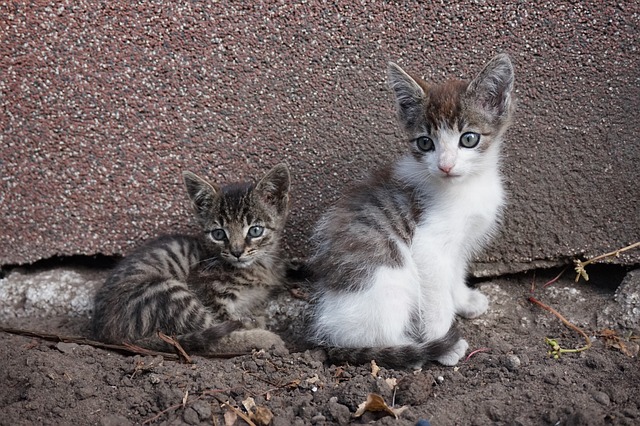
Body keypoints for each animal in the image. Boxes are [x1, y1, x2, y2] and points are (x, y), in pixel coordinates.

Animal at [91, 163, 292, 352]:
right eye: (218, 234)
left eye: (255, 230)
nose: (237, 252)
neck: (259, 265)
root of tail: (106, 332)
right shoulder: (209, 292)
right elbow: (226, 325)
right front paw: (254, 326)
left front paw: (255, 318)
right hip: (166, 291)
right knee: (211, 338)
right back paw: (267, 339)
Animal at [308, 55, 516, 368]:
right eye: (425, 142)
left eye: (468, 139)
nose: (445, 165)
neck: (466, 185)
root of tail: (330, 333)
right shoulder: (428, 246)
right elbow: (436, 297)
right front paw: (444, 343)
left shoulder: (461, 242)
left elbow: (455, 272)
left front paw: (464, 300)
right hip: (389, 279)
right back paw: (412, 350)